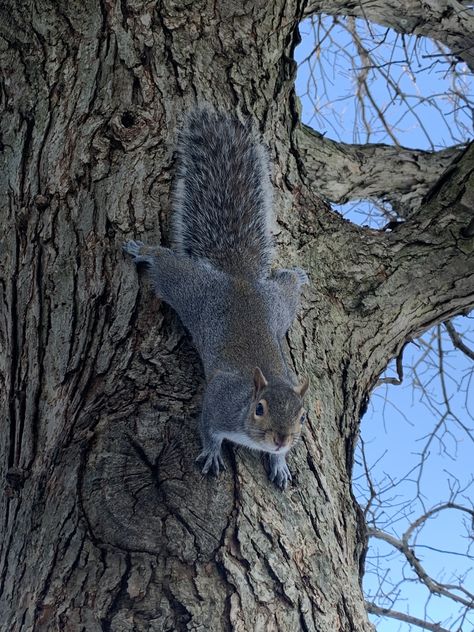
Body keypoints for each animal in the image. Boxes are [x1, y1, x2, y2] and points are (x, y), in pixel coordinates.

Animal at [122, 107, 310, 488]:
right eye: (259, 409)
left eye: (302, 417)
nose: (281, 439)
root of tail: (238, 279)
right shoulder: (217, 403)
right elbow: (208, 428)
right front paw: (211, 453)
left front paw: (280, 464)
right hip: (189, 287)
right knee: (166, 265)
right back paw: (143, 251)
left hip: (278, 306)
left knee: (285, 287)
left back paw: (297, 277)